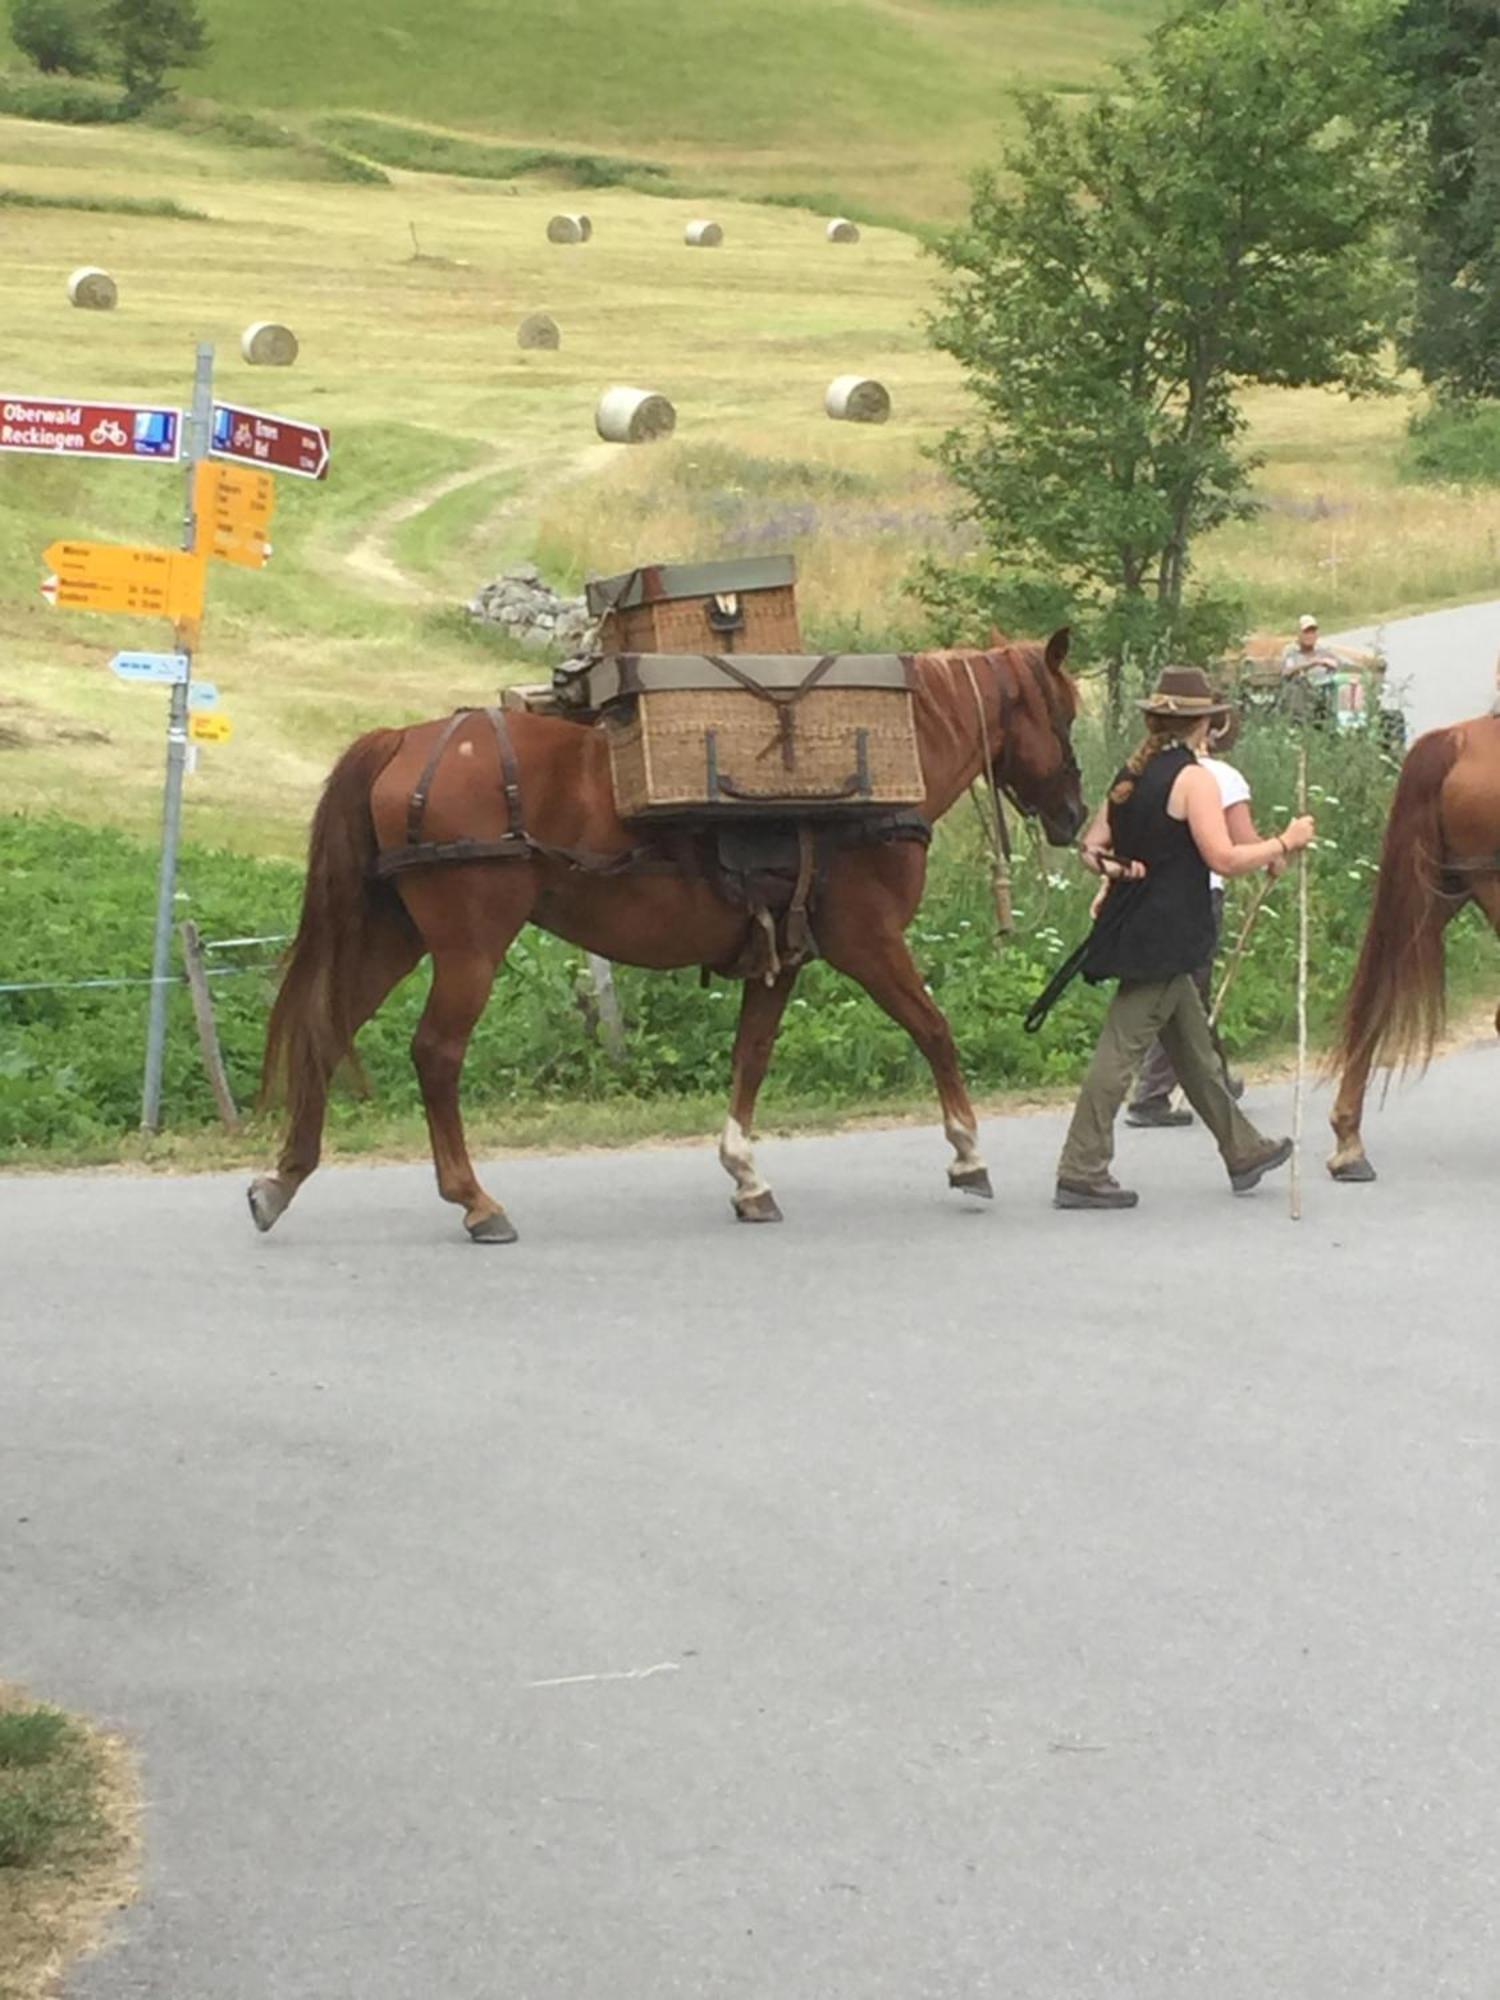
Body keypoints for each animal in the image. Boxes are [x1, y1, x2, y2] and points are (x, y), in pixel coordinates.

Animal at [253, 632, 1088, 1240]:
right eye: (1067, 712)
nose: (1077, 815)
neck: (890, 771)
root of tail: (405, 741)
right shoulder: (869, 944)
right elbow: (935, 1030)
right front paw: (968, 1155)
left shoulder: (779, 958)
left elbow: (751, 1057)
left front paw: (746, 1177)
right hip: (469, 948)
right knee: (435, 1054)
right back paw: (475, 1201)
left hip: (397, 935)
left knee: (327, 1033)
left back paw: (282, 1179)